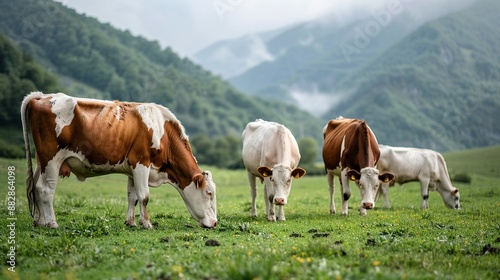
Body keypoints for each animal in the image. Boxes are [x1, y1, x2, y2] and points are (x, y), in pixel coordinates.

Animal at [21, 93, 217, 229]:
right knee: (46, 189)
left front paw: (131, 222)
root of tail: (43, 96)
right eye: (209, 193)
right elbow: (144, 196)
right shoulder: (142, 162)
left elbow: (133, 196)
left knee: (36, 187)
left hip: (41, 161)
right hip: (51, 159)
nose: (215, 223)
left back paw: (40, 221)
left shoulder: (132, 168)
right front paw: (147, 224)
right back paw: (52, 223)